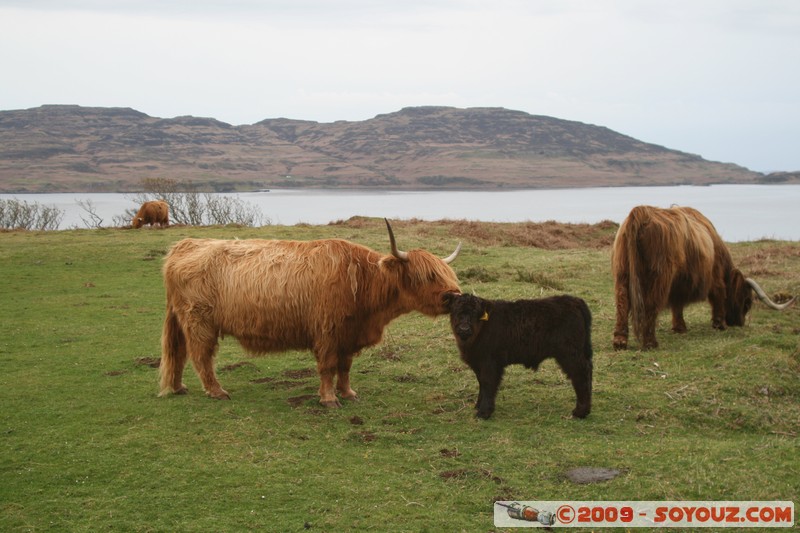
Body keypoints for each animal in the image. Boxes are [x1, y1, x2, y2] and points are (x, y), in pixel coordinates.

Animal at [159, 218, 462, 406]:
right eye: (425, 276)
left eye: (447, 273)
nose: (454, 297)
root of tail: (185, 245)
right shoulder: (327, 332)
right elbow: (327, 367)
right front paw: (329, 399)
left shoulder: (348, 335)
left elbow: (345, 367)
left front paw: (348, 393)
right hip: (199, 322)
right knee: (201, 356)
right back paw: (217, 391)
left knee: (179, 353)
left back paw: (178, 387)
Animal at [446, 290, 592, 420]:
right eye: (455, 311)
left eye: (475, 313)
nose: (464, 329)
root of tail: (574, 301)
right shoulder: (478, 363)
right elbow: (481, 382)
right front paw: (478, 406)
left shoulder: (490, 363)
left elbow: (488, 384)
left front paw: (483, 413)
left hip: (570, 354)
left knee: (581, 374)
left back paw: (580, 412)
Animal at [612, 204, 792, 350]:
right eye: (747, 302)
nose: (739, 323)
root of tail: (640, 213)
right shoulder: (715, 276)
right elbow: (718, 295)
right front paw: (719, 324)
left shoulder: (679, 282)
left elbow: (677, 304)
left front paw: (680, 328)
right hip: (660, 276)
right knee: (651, 304)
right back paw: (650, 343)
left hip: (623, 271)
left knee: (622, 302)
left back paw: (620, 342)